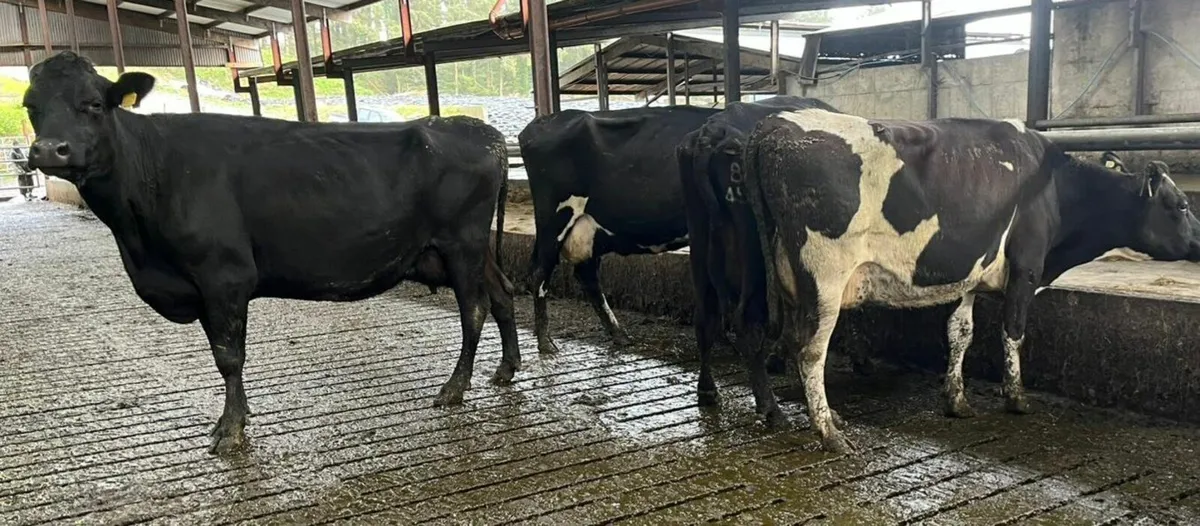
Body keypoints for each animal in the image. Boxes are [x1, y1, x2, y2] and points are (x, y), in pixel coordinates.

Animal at [23, 52, 520, 454]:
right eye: (31, 106)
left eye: (94, 104)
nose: (49, 150)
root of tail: (480, 129)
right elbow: (222, 355)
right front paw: (236, 419)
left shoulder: (224, 275)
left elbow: (228, 356)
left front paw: (230, 431)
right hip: (472, 250)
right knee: (502, 294)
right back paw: (506, 368)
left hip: (461, 243)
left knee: (474, 309)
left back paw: (454, 388)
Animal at [519, 106, 719, 354]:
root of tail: (543, 121)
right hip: (553, 219)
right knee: (539, 274)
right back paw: (546, 342)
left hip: (588, 231)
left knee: (586, 275)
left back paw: (619, 334)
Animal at [677, 96, 842, 425]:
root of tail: (712, 131)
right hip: (753, 253)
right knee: (747, 321)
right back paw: (770, 407)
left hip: (699, 239)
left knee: (705, 317)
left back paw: (707, 390)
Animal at [742, 109, 1200, 453]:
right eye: (1180, 205)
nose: (1199, 240)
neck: (1055, 187)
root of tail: (774, 125)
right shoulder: (1027, 265)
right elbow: (1013, 331)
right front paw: (1016, 398)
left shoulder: (972, 275)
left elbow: (960, 332)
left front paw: (956, 399)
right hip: (825, 277)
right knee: (808, 351)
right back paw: (829, 433)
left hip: (779, 281)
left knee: (765, 334)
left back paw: (781, 412)